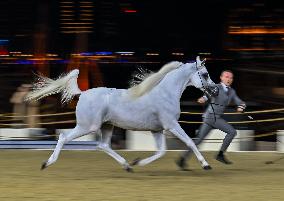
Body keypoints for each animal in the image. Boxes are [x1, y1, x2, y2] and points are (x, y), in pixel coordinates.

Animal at [25, 56, 214, 171]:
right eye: (205, 74)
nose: (214, 89)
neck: (165, 93)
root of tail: (83, 93)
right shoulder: (172, 125)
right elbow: (190, 142)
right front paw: (205, 165)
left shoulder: (157, 130)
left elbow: (161, 151)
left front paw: (138, 162)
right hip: (88, 126)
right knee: (63, 137)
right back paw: (46, 163)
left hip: (107, 126)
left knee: (103, 145)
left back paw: (127, 166)